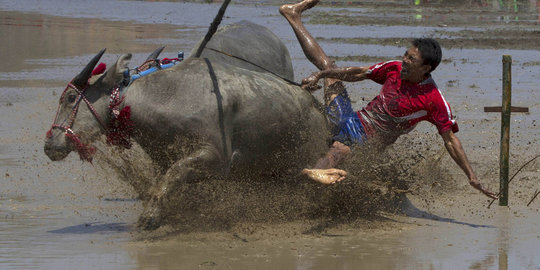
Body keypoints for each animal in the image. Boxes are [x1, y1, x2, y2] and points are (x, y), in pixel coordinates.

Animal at [43, 21, 330, 229]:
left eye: (70, 98)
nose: (49, 144)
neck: (165, 97)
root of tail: (321, 112)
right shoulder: (162, 157)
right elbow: (167, 178)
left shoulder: (216, 157)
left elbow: (174, 173)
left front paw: (150, 218)